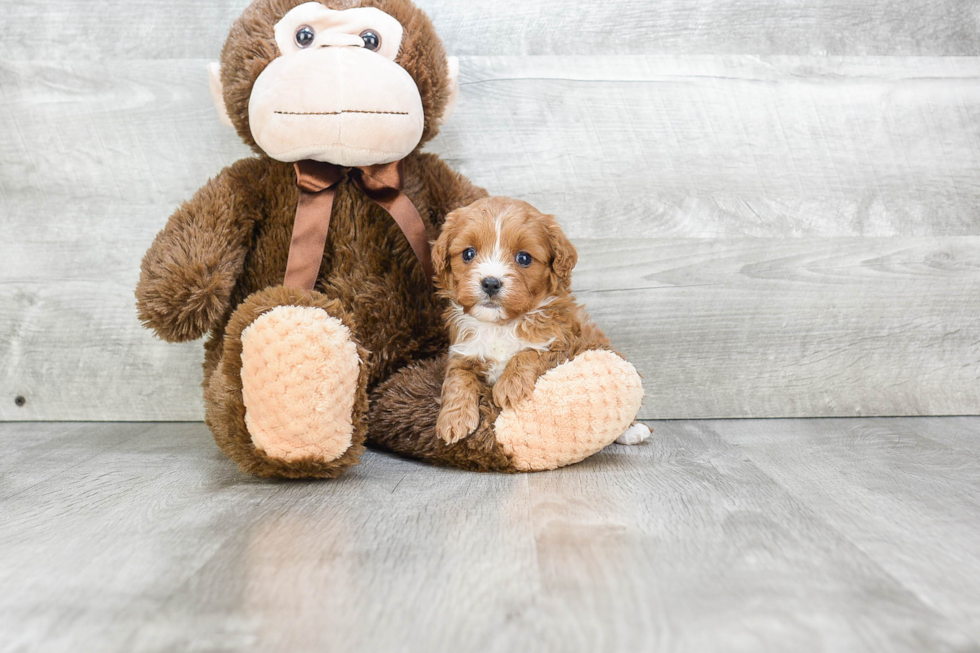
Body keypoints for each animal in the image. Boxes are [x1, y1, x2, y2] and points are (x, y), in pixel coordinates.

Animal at [430, 196, 652, 446]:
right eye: (468, 254)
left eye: (524, 258)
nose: (490, 283)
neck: (501, 325)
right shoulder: (464, 352)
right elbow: (457, 379)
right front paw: (453, 419)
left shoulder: (564, 343)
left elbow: (531, 353)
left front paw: (510, 386)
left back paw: (632, 431)